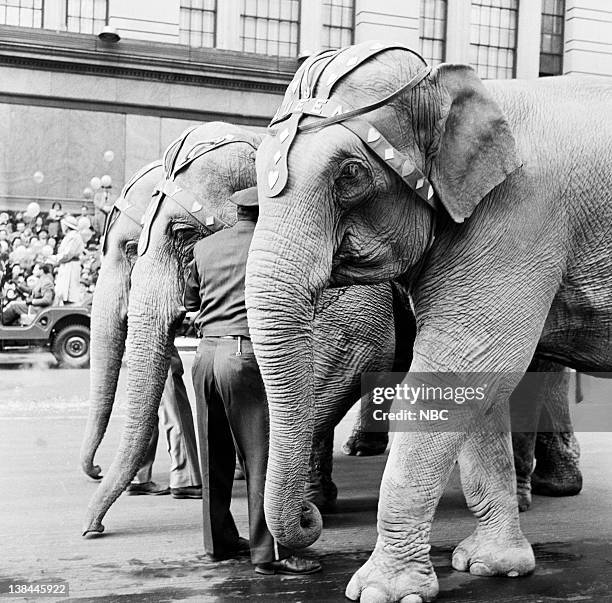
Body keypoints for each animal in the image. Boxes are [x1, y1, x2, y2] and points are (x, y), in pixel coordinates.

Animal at [246, 40, 608, 600]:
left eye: (349, 174)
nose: (309, 524)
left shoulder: (522, 214)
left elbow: (464, 364)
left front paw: (380, 591)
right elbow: (481, 384)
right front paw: (490, 566)